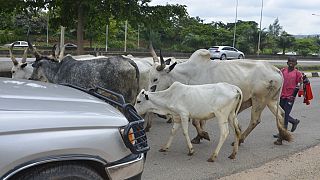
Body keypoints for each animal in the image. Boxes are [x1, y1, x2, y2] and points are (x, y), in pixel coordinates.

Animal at [149, 48, 292, 145]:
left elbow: (197, 122)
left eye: (155, 79)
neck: (188, 74)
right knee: (281, 114)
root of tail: (275, 69)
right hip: (271, 100)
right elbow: (198, 122)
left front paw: (203, 135)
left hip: (259, 99)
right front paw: (199, 137)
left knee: (255, 120)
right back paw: (281, 138)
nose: (149, 94)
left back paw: (240, 139)